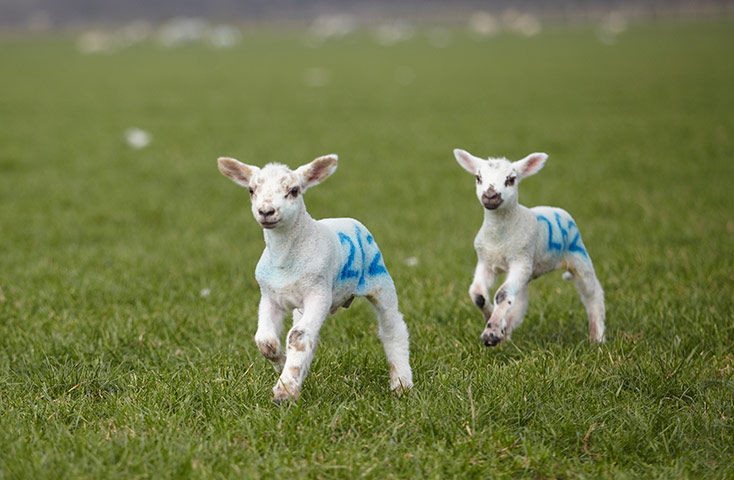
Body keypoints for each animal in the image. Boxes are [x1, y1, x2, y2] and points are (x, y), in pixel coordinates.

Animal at [217, 153, 413, 402]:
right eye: (251, 190)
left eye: (294, 190)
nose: (266, 211)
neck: (284, 259)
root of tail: (350, 220)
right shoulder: (269, 296)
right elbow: (266, 341)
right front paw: (283, 365)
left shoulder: (318, 293)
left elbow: (298, 337)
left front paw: (285, 391)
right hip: (300, 305)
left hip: (379, 280)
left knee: (392, 328)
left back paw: (402, 384)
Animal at [453, 148, 605, 347]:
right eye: (478, 178)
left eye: (511, 179)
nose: (490, 196)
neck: (500, 237)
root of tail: (556, 209)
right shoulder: (486, 262)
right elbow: (478, 295)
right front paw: (491, 318)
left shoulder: (521, 260)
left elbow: (502, 294)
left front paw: (491, 333)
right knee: (518, 303)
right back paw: (506, 335)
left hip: (578, 254)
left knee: (592, 292)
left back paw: (597, 337)